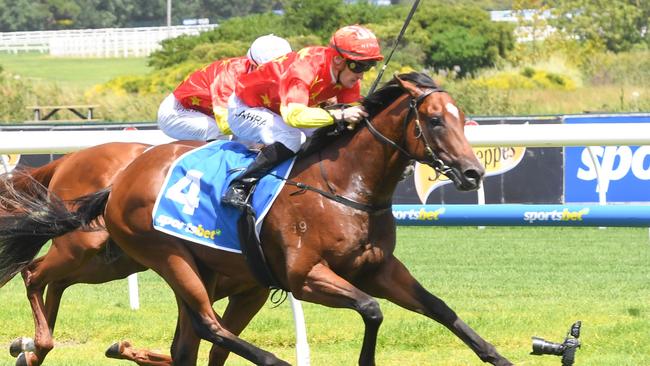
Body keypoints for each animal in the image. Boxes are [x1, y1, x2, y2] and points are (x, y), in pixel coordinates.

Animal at [0, 142, 268, 364]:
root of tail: (70, 158)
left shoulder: (251, 294)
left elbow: (207, 347)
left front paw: (124, 348)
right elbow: (189, 344)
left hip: (106, 262)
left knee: (49, 277)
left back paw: (32, 348)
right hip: (84, 246)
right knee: (36, 272)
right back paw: (36, 345)